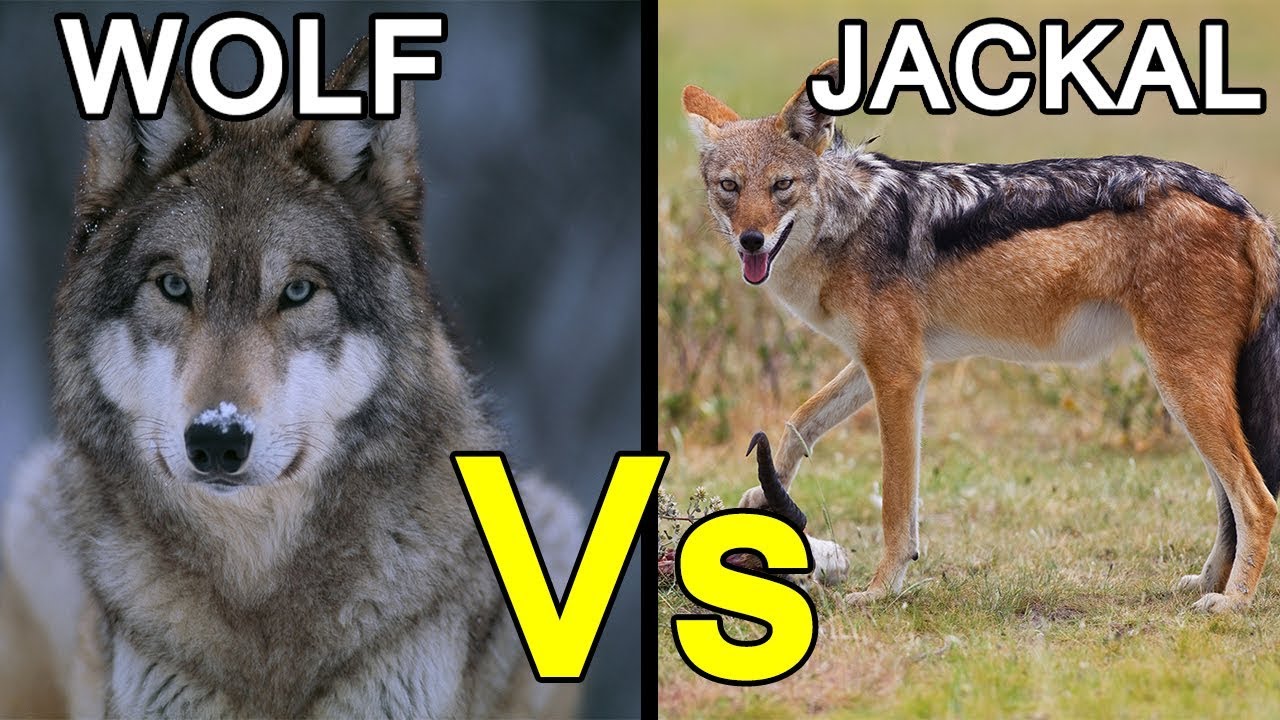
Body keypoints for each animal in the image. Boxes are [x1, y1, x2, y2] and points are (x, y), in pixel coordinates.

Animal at [682, 58, 1280, 614]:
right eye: (730, 188)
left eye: (781, 186)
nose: (751, 241)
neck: (847, 222)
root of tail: (1243, 204)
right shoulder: (882, 361)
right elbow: (801, 419)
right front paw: (762, 494)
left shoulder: (898, 373)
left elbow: (895, 503)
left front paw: (879, 590)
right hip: (1187, 393)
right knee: (1230, 502)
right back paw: (1207, 583)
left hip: (1183, 385)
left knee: (1257, 501)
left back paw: (1233, 601)